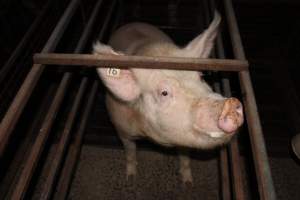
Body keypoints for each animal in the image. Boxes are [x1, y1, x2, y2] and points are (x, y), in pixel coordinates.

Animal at [93, 11, 244, 184]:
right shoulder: (121, 129)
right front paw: (131, 178)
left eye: (201, 77)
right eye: (164, 92)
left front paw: (188, 183)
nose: (230, 103)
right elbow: (130, 150)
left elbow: (184, 156)